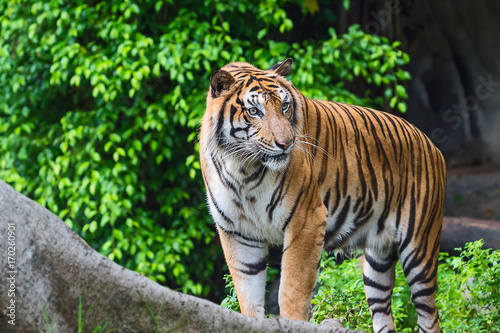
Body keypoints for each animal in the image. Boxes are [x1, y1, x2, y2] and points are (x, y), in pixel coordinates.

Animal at [199, 58, 446, 330]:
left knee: (429, 314)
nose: (286, 144)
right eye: (254, 111)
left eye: (285, 106)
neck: (242, 168)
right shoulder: (238, 232)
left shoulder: (306, 220)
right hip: (377, 261)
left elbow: (292, 289)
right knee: (383, 309)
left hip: (419, 247)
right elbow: (248, 297)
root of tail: (432, 145)